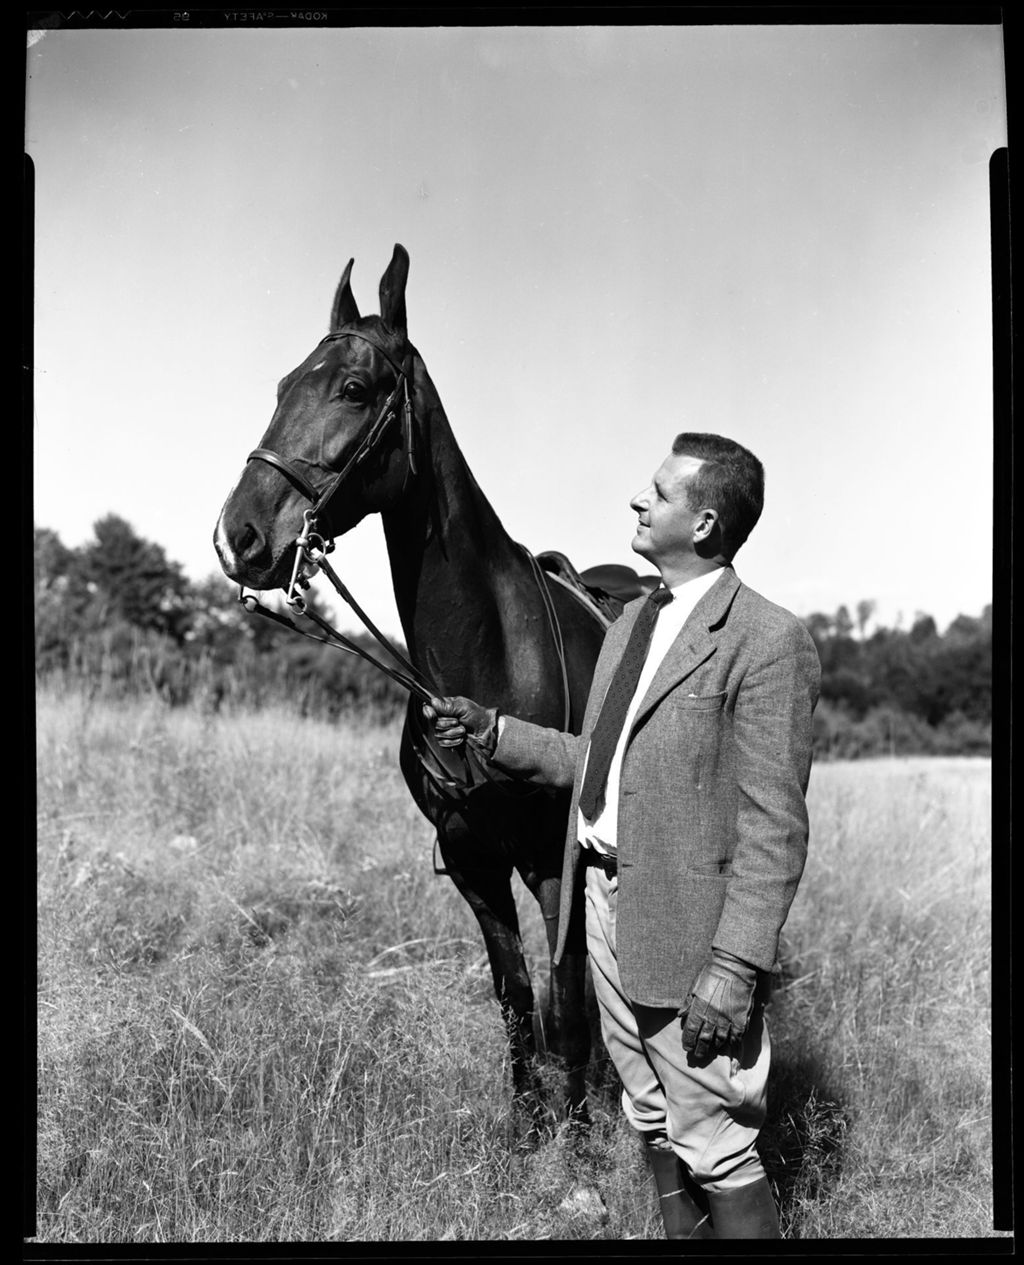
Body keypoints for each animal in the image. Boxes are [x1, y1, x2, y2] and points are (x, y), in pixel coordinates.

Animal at [214, 244, 619, 1126]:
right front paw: (528, 1128)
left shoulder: (550, 862)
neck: (487, 664)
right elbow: (516, 998)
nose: (239, 537)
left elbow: (566, 1003)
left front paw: (576, 1139)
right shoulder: (473, 863)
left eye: (354, 388)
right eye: (282, 385)